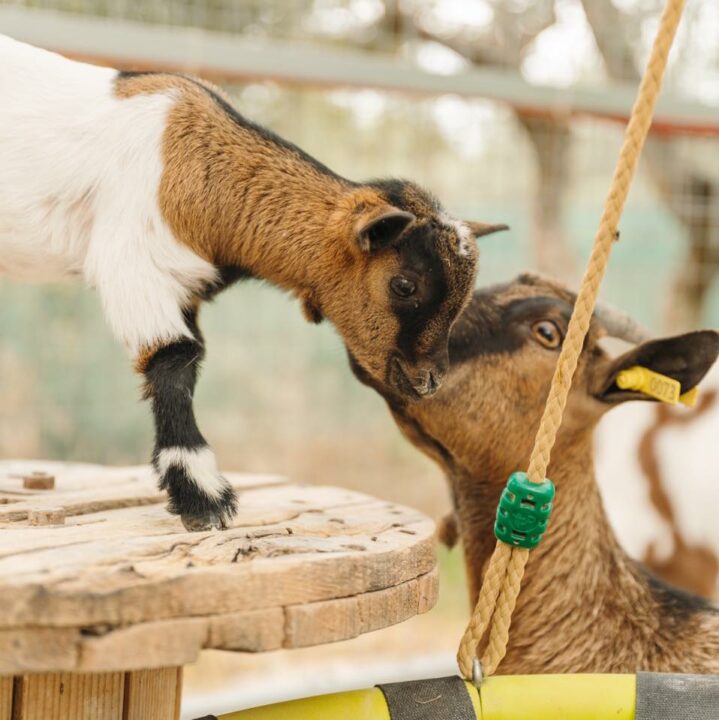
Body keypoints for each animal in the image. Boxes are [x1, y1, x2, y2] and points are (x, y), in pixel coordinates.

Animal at [0, 35, 510, 528]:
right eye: (404, 285)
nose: (430, 381)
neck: (196, 168)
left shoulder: (182, 286)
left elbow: (190, 362)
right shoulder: (131, 263)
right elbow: (175, 360)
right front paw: (204, 498)